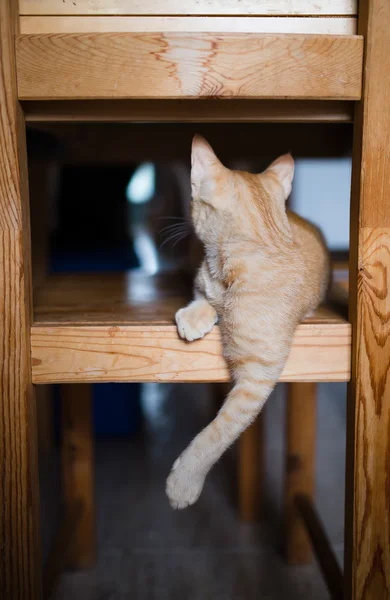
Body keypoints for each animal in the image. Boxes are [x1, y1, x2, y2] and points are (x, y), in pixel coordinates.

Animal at [165, 137, 330, 510]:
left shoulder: (256, 379)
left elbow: (218, 432)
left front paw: (185, 481)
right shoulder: (206, 283)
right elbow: (203, 293)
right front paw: (197, 314)